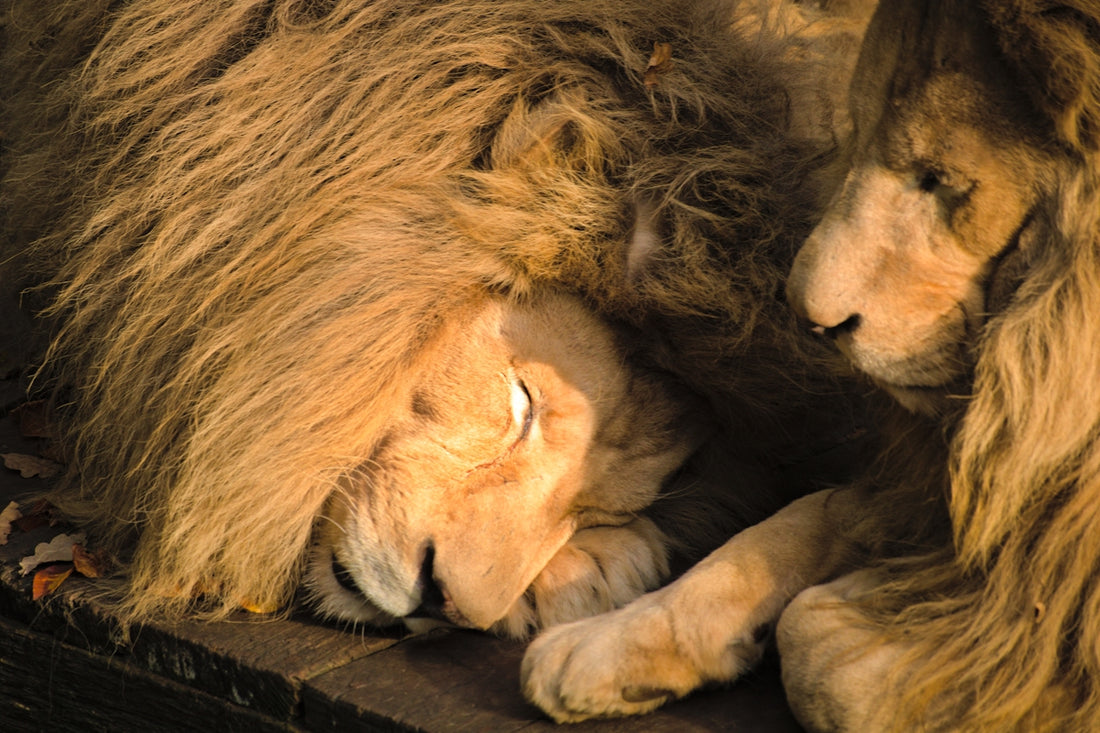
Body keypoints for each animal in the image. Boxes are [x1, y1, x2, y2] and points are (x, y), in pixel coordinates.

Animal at [523, 1, 1100, 730]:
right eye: (859, 138)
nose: (810, 319)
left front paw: (884, 612)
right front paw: (608, 643)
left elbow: (820, 642)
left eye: (941, 180)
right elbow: (792, 524)